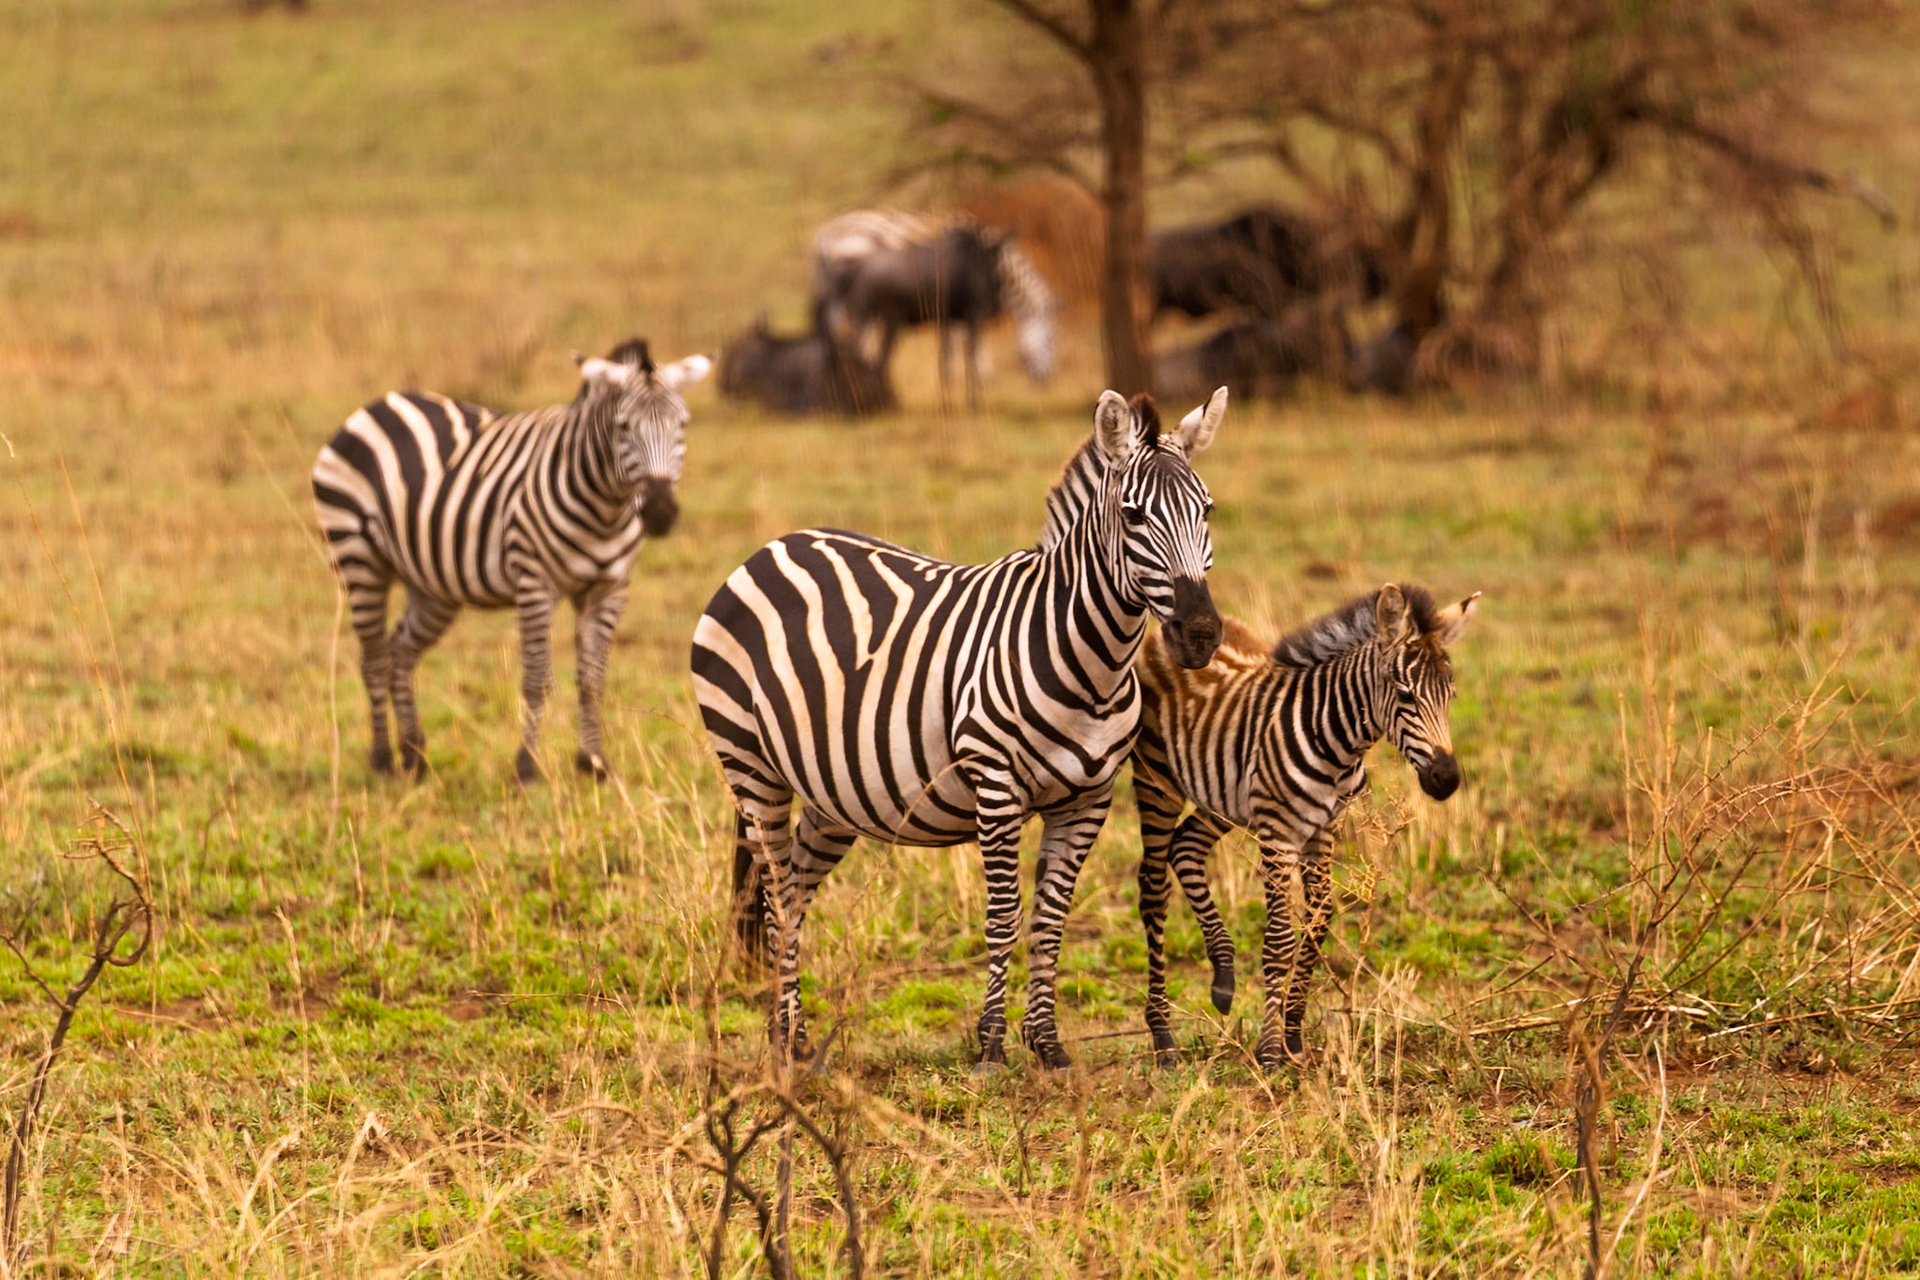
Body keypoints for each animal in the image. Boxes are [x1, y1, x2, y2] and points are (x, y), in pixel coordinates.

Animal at [311, 339, 713, 782]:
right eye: (623, 426)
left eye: (684, 424)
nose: (659, 512)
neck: (606, 510)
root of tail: (379, 404)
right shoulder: (535, 582)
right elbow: (537, 679)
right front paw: (527, 767)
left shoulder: (609, 589)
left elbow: (593, 681)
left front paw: (593, 763)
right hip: (358, 557)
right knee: (375, 660)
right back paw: (383, 759)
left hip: (432, 586)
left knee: (400, 651)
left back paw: (414, 755)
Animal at [691, 387, 1230, 1069]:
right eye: (1133, 516)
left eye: (1207, 510)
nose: (1200, 634)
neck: (1091, 664)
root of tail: (771, 547)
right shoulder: (996, 785)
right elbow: (1004, 916)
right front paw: (992, 1046)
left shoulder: (1089, 799)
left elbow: (1050, 918)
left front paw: (1047, 1044)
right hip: (750, 763)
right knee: (778, 895)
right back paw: (790, 1043)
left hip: (830, 792)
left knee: (792, 890)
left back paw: (791, 1038)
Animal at [813, 208, 1057, 407]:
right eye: (1051, 339)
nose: (1047, 382)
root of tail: (824, 235)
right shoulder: (965, 309)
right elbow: (965, 345)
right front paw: (979, 381)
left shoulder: (950, 312)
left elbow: (950, 347)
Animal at [1131, 584, 1478, 1069]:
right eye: (1404, 694)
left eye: (1451, 696)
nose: (1446, 780)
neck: (1337, 742)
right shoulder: (1278, 831)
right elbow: (1280, 937)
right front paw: (1269, 1051)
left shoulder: (1322, 828)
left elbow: (1318, 923)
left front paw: (1293, 1035)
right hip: (1156, 777)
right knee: (1153, 888)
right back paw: (1163, 1036)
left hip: (1225, 795)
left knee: (1186, 847)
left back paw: (1223, 977)